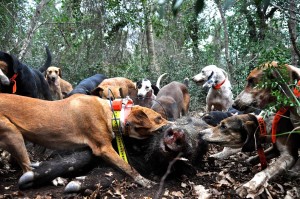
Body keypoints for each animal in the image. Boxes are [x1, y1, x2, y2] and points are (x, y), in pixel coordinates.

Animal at [0, 93, 169, 187]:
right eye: (158, 118)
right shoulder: (104, 148)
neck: (112, 113)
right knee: (26, 168)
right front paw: (144, 181)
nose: (173, 126)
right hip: (13, 134)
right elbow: (128, 167)